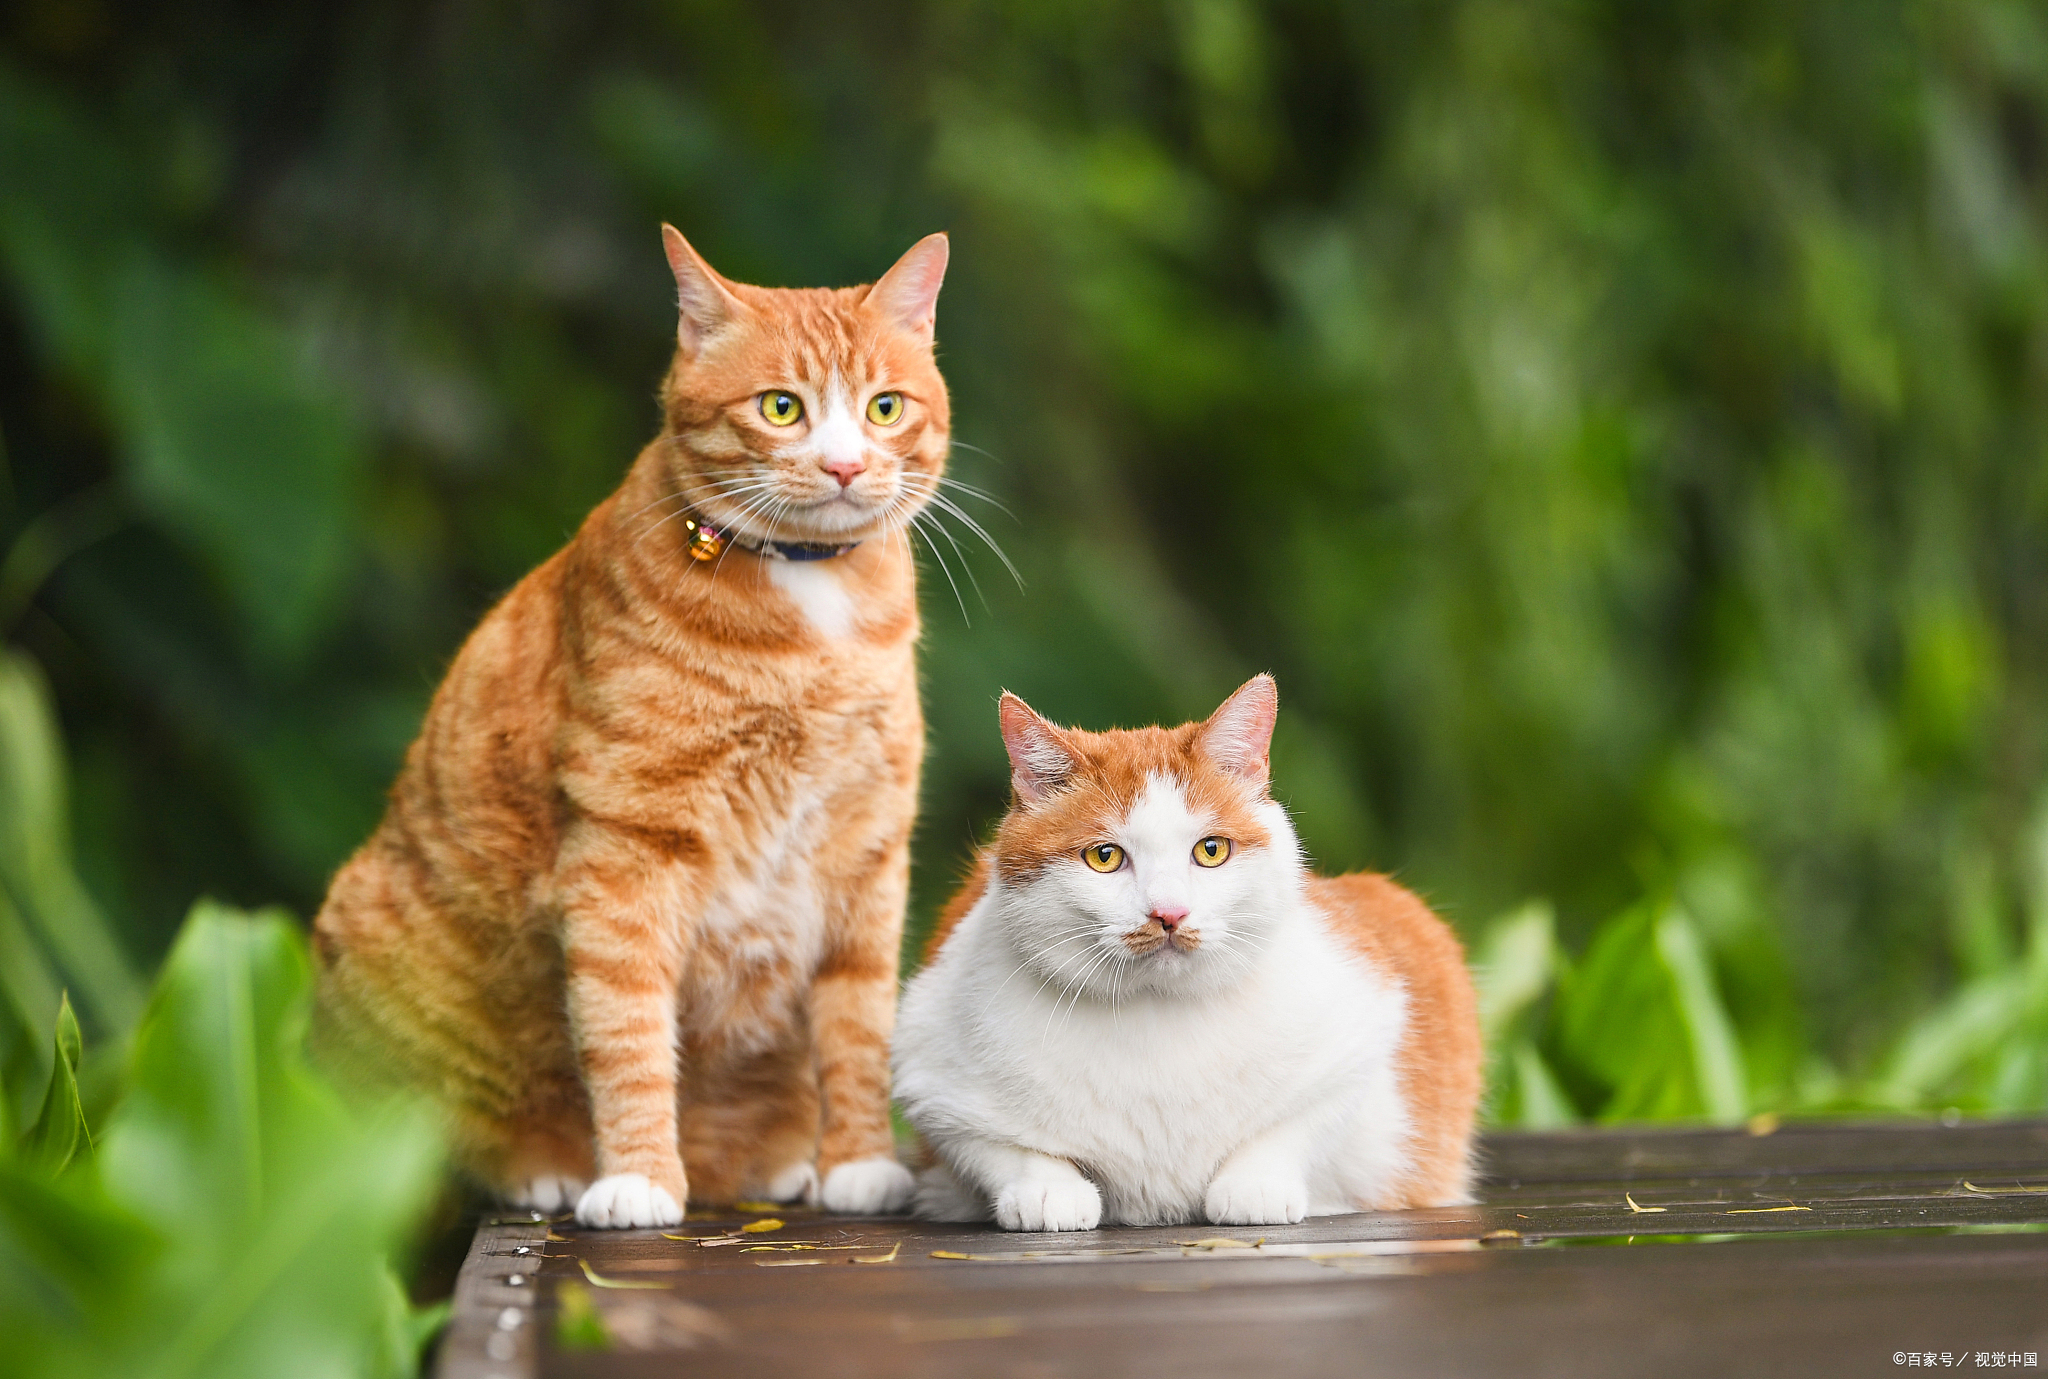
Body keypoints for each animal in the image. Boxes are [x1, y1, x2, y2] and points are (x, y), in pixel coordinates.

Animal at [307, 223, 946, 1229]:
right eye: (782, 408)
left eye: (885, 408)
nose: (845, 465)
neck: (809, 608)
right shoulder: (627, 845)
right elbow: (627, 1022)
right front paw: (641, 1175)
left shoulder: (867, 849)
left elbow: (858, 1023)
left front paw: (858, 1161)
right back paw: (542, 1164)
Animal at [888, 676, 1482, 1229]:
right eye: (1104, 857)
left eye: (1211, 850)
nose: (1168, 913)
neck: (1156, 1012)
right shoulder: (929, 1074)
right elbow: (1003, 1148)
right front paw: (1048, 1189)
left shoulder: (1365, 1027)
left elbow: (1297, 1124)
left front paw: (1255, 1184)